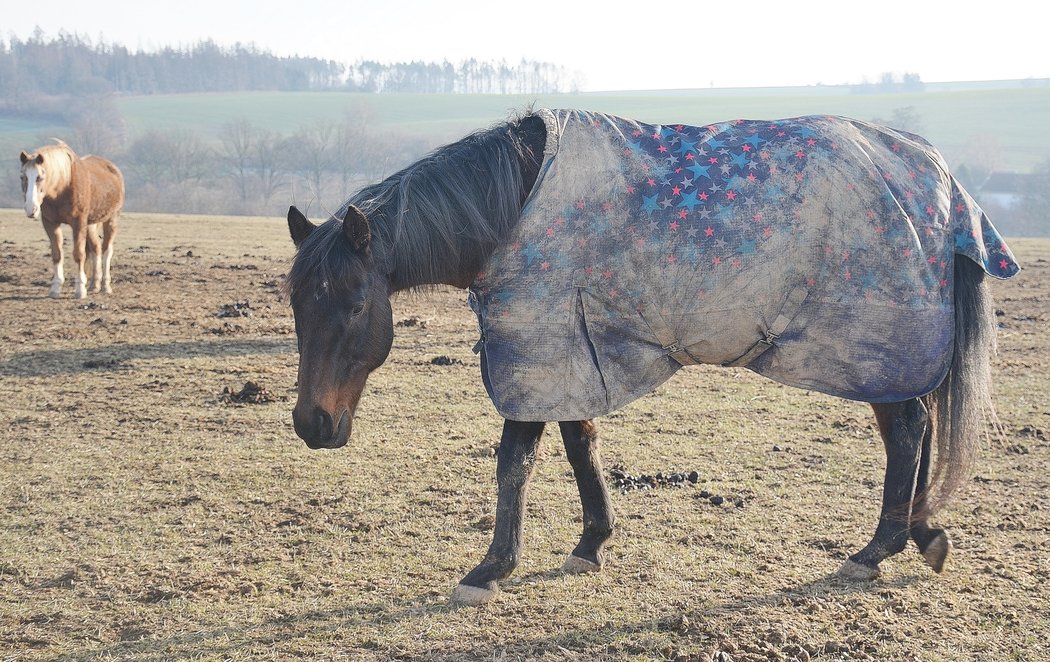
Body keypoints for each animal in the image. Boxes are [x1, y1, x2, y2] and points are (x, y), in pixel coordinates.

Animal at [19, 141, 125, 300]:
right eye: (22, 177)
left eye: (40, 177)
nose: (31, 209)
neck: (62, 187)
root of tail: (113, 169)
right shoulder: (50, 223)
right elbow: (57, 254)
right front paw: (55, 288)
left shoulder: (78, 223)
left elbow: (79, 254)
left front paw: (80, 289)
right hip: (91, 225)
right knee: (96, 248)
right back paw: (94, 285)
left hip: (111, 220)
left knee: (106, 250)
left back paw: (105, 286)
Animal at [283, 107, 1020, 605]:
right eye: (295, 301)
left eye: (354, 303)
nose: (312, 425)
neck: (514, 210)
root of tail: (936, 174)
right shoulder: (572, 351)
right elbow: (580, 444)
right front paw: (590, 544)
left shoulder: (537, 346)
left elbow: (514, 460)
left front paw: (490, 569)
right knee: (919, 430)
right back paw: (919, 536)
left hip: (877, 348)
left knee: (908, 433)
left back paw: (876, 550)